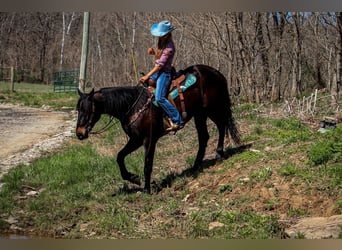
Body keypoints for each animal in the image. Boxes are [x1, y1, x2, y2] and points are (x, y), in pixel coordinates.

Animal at [75, 64, 240, 193]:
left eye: (87, 110)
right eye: (78, 109)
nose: (80, 133)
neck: (134, 105)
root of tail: (217, 73)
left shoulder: (149, 139)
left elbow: (147, 164)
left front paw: (147, 189)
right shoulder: (135, 139)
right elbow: (120, 156)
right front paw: (133, 178)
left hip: (213, 108)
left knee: (222, 125)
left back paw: (219, 153)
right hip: (200, 114)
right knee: (204, 137)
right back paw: (196, 165)